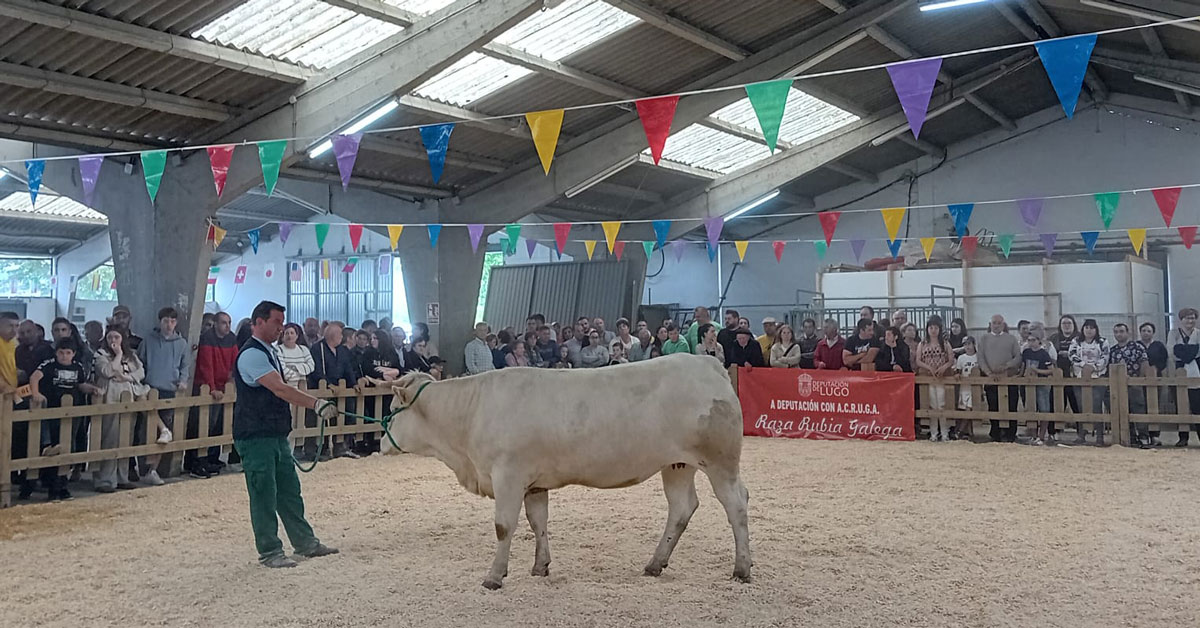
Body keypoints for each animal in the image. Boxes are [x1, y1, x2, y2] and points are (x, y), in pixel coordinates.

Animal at [386, 353, 748, 590]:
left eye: (391, 410)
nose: (381, 442)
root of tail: (707, 363)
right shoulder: (533, 482)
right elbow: (538, 521)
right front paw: (539, 566)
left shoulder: (508, 474)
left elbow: (504, 526)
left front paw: (494, 576)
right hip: (677, 464)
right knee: (682, 507)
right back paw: (654, 564)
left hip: (720, 461)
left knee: (736, 504)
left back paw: (742, 568)